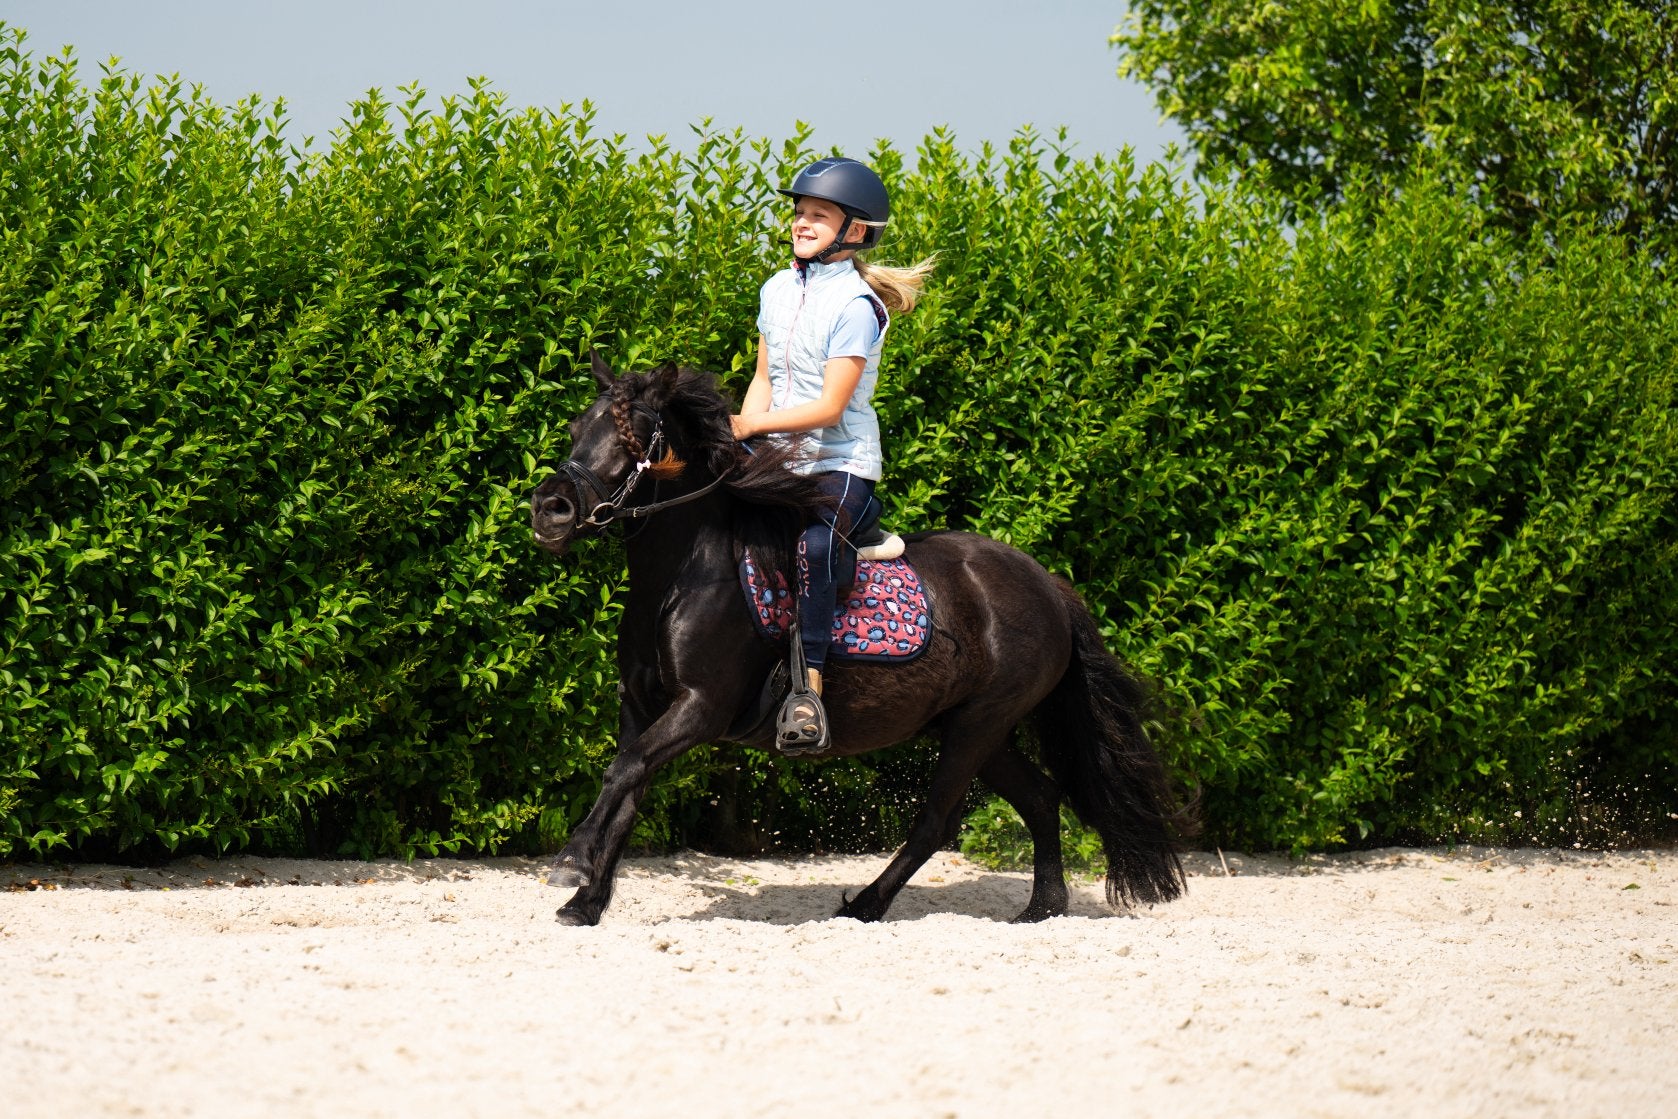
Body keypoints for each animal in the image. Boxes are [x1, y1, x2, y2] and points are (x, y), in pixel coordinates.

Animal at [529, 353, 1191, 925]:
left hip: (980, 723)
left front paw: (570, 862)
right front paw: (584, 903)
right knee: (1040, 798)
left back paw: (867, 905)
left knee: (937, 822)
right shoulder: (642, 706)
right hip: (976, 726)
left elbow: (622, 772)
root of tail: (1049, 585)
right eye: (576, 427)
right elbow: (628, 786)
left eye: (634, 439)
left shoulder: (700, 707)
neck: (684, 574)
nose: (550, 510)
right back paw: (1043, 907)